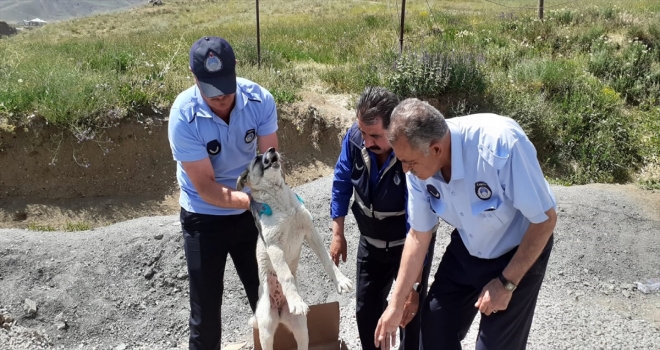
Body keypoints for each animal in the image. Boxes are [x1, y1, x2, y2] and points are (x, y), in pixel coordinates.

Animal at [235, 147, 354, 350]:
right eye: (257, 159)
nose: (272, 149)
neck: (283, 204)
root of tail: (280, 312)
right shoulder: (274, 245)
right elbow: (285, 275)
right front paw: (296, 301)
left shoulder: (310, 231)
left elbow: (327, 260)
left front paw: (341, 281)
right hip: (266, 329)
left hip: (301, 327)